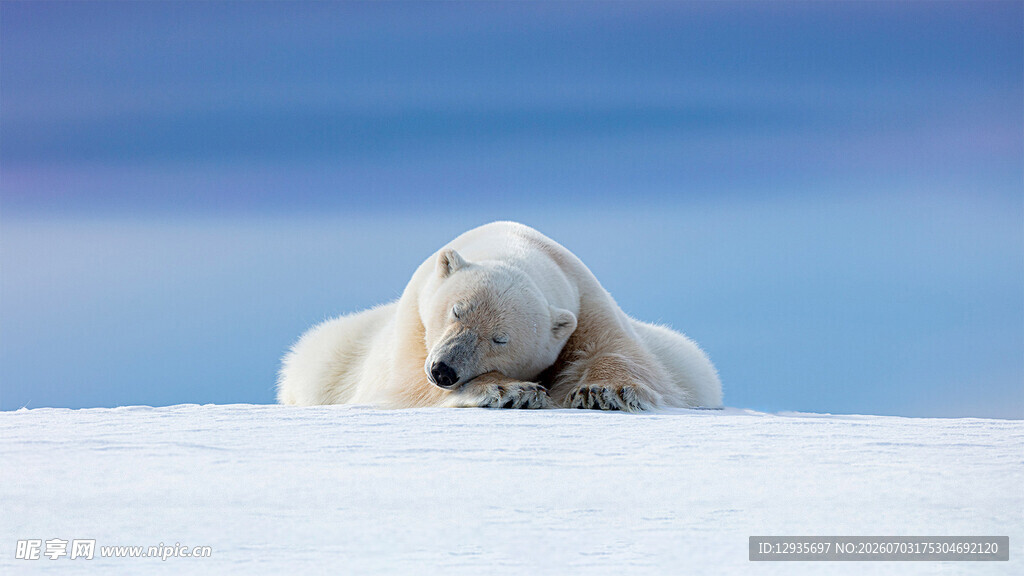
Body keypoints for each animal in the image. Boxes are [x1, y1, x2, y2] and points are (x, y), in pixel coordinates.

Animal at [277, 221, 722, 411]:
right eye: (456, 311)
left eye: (500, 339)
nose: (444, 371)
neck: (514, 245)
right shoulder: (414, 323)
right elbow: (405, 383)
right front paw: (511, 390)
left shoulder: (586, 301)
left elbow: (624, 354)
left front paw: (600, 391)